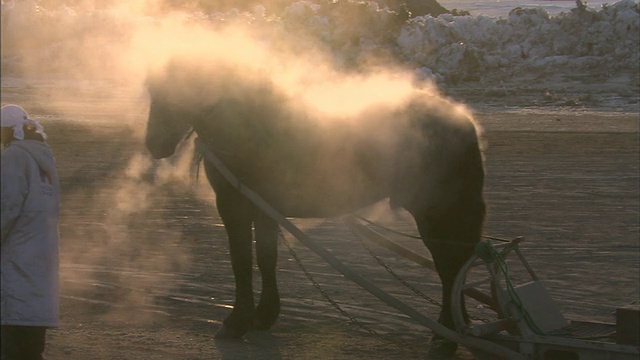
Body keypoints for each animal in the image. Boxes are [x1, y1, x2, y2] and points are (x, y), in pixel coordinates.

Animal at [145, 59, 484, 358]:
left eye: (177, 90)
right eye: (152, 89)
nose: (154, 145)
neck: (249, 128)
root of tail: (463, 122)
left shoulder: (234, 208)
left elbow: (240, 262)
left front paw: (236, 321)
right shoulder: (264, 210)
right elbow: (266, 259)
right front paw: (264, 315)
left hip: (436, 213)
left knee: (449, 270)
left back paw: (444, 337)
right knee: (454, 269)